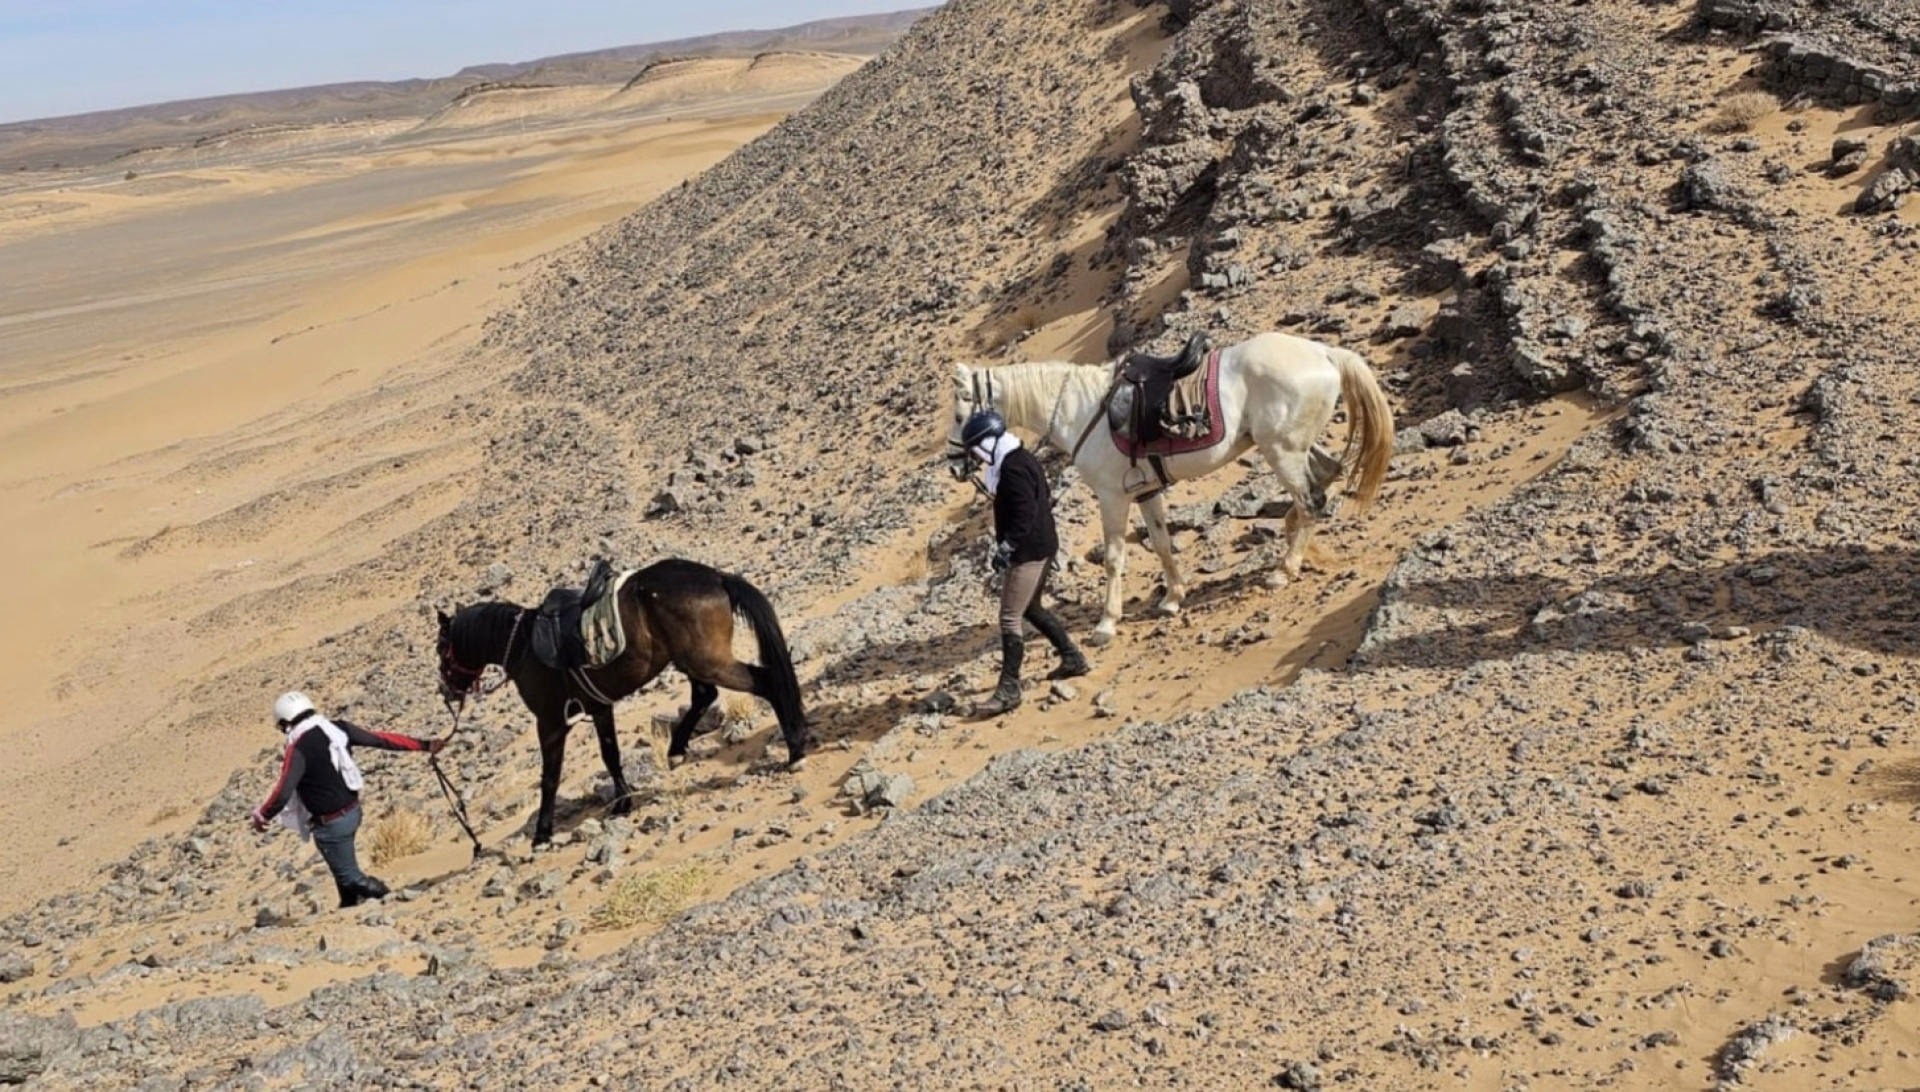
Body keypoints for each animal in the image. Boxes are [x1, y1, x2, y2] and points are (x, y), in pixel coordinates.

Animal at [435, 557, 809, 846]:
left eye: (441, 648)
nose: (446, 690)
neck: (524, 645)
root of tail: (716, 577)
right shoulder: (599, 708)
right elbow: (610, 755)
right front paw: (623, 802)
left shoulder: (551, 722)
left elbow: (550, 777)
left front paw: (542, 835)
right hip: (691, 660)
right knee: (705, 695)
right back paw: (676, 750)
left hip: (708, 661)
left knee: (765, 684)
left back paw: (795, 752)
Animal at [946, 331, 1394, 646]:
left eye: (959, 415)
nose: (953, 464)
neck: (1082, 409)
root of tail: (1323, 352)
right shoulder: (1146, 492)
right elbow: (1161, 543)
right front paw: (1173, 597)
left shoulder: (1112, 497)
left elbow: (1114, 559)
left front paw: (1107, 623)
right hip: (1294, 447)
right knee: (1327, 474)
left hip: (1282, 452)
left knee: (1310, 500)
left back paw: (1284, 570)